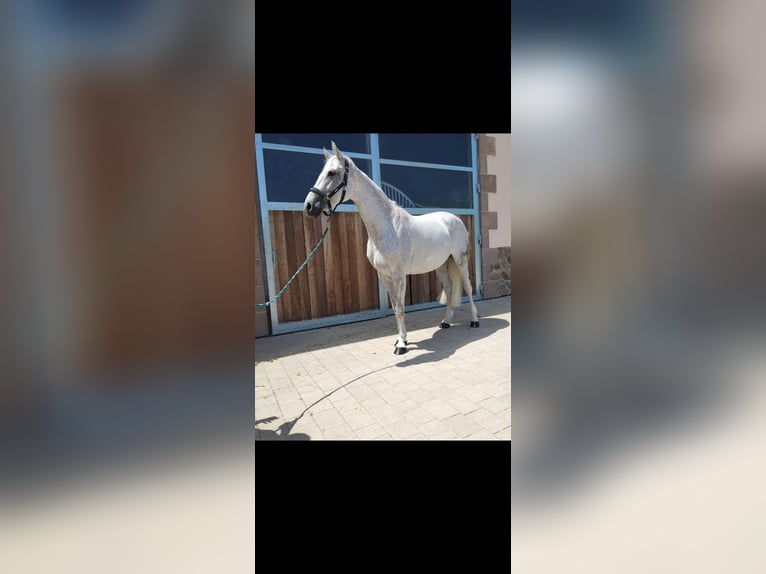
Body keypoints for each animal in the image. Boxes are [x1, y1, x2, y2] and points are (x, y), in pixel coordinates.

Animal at [304, 141, 479, 355]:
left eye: (332, 173)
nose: (309, 205)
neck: (387, 226)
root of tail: (454, 219)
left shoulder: (398, 275)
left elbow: (401, 309)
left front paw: (402, 346)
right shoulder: (384, 276)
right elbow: (396, 308)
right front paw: (400, 340)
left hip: (460, 260)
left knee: (468, 288)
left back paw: (475, 321)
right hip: (441, 265)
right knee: (449, 287)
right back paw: (445, 322)